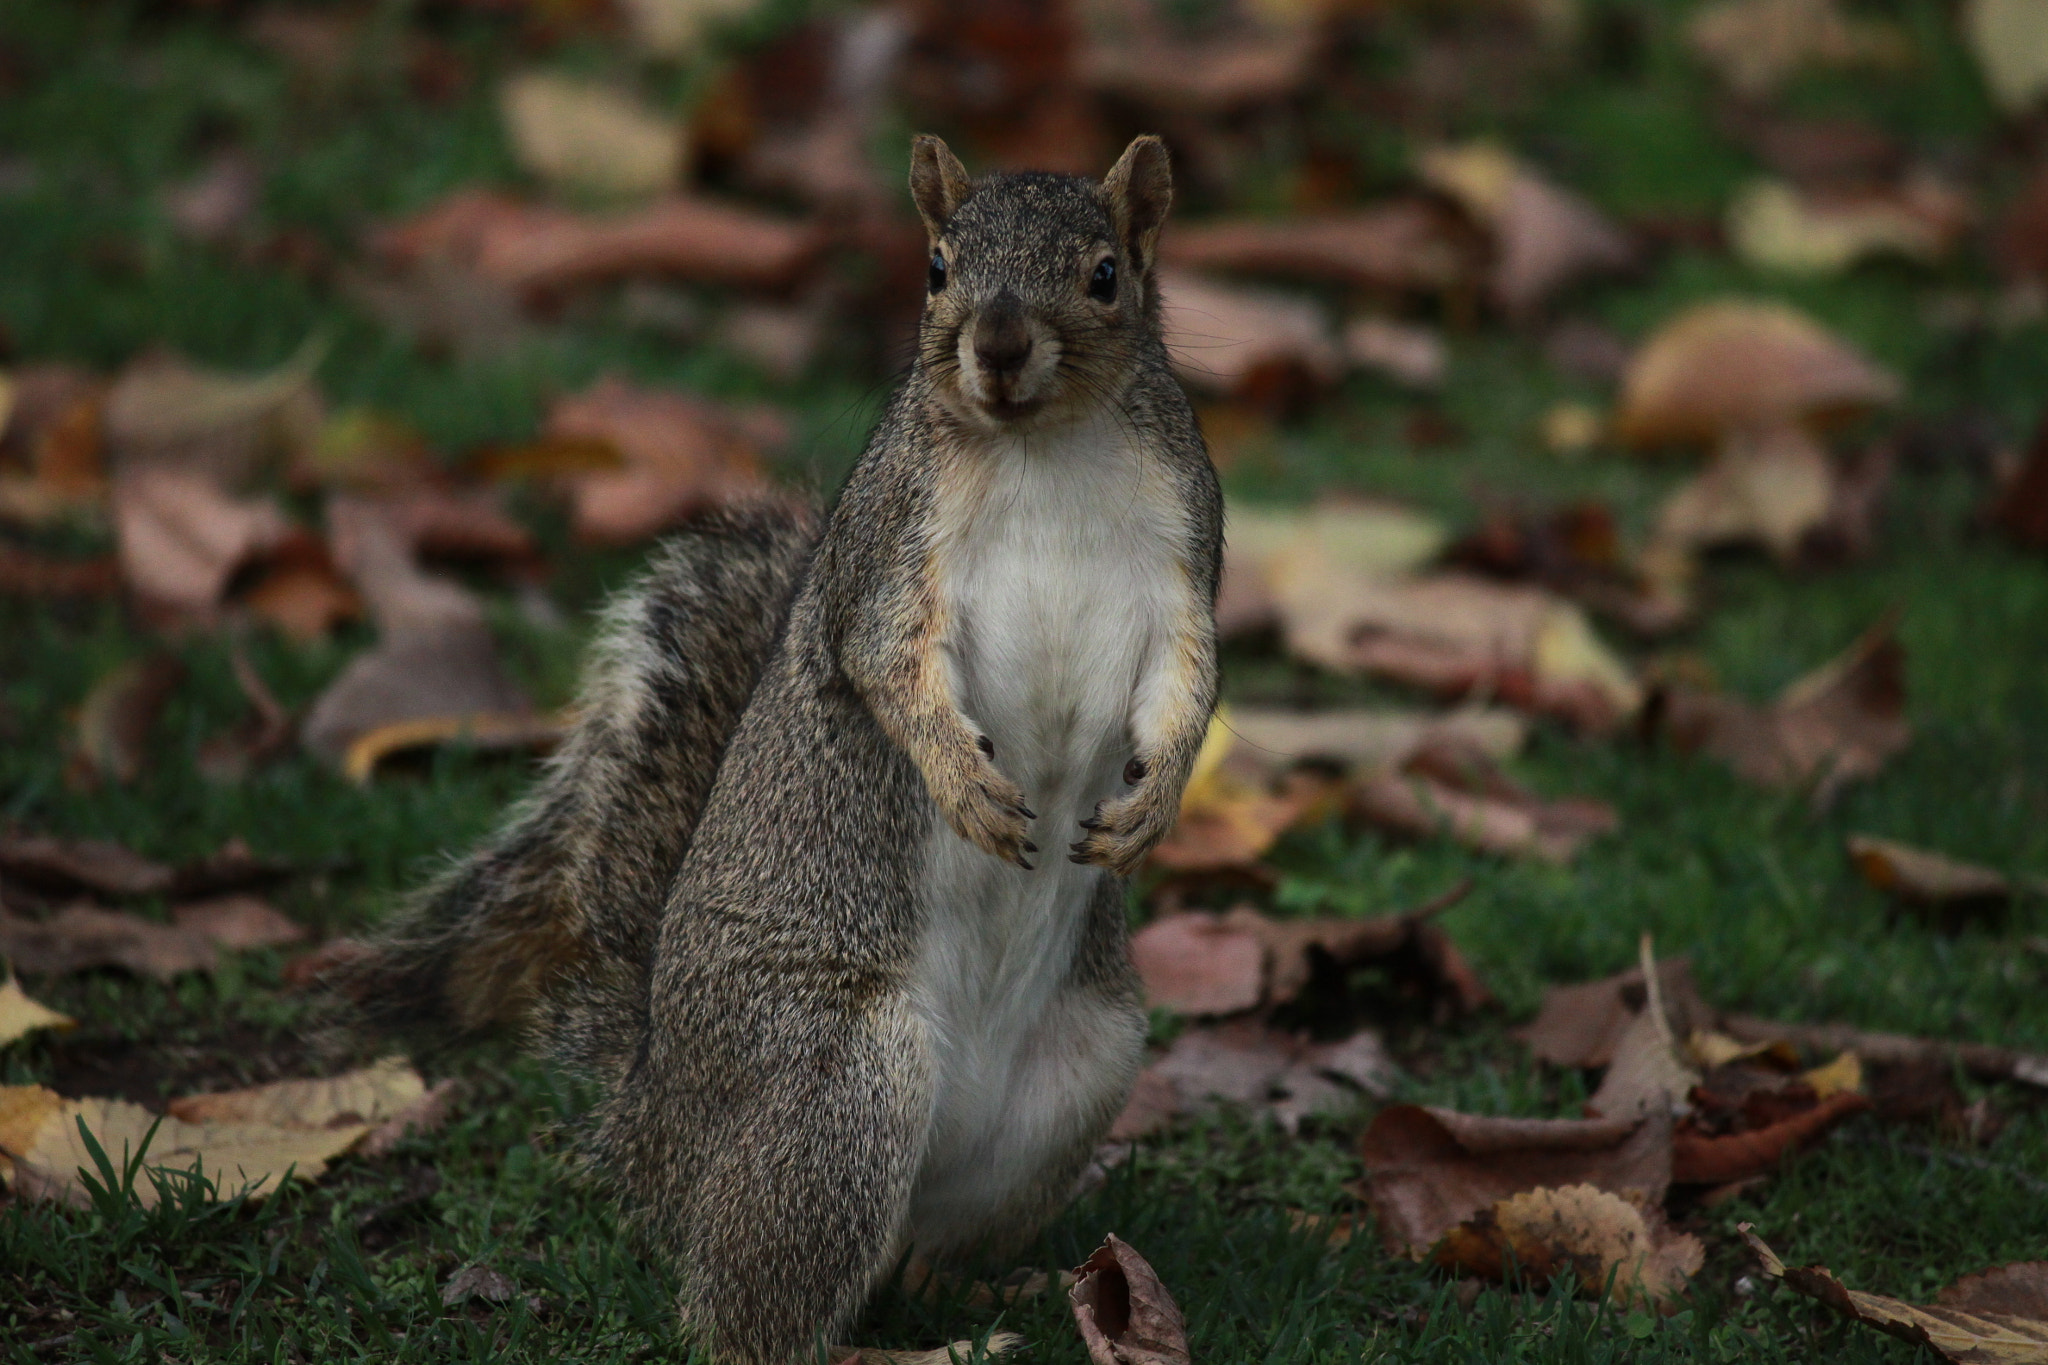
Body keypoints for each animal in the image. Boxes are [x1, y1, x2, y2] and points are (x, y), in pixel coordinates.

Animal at [339, 133, 1221, 1365]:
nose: (998, 347)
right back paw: (915, 1346)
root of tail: (661, 1131)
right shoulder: (885, 552)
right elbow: (886, 666)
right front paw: (963, 783)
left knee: (913, 1254)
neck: (1043, 447)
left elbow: (1190, 686)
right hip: (834, 1081)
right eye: (937, 268)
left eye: (1103, 275)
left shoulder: (1185, 557)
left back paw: (1001, 1290)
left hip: (1079, 1075)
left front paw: (1156, 801)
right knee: (757, 1316)